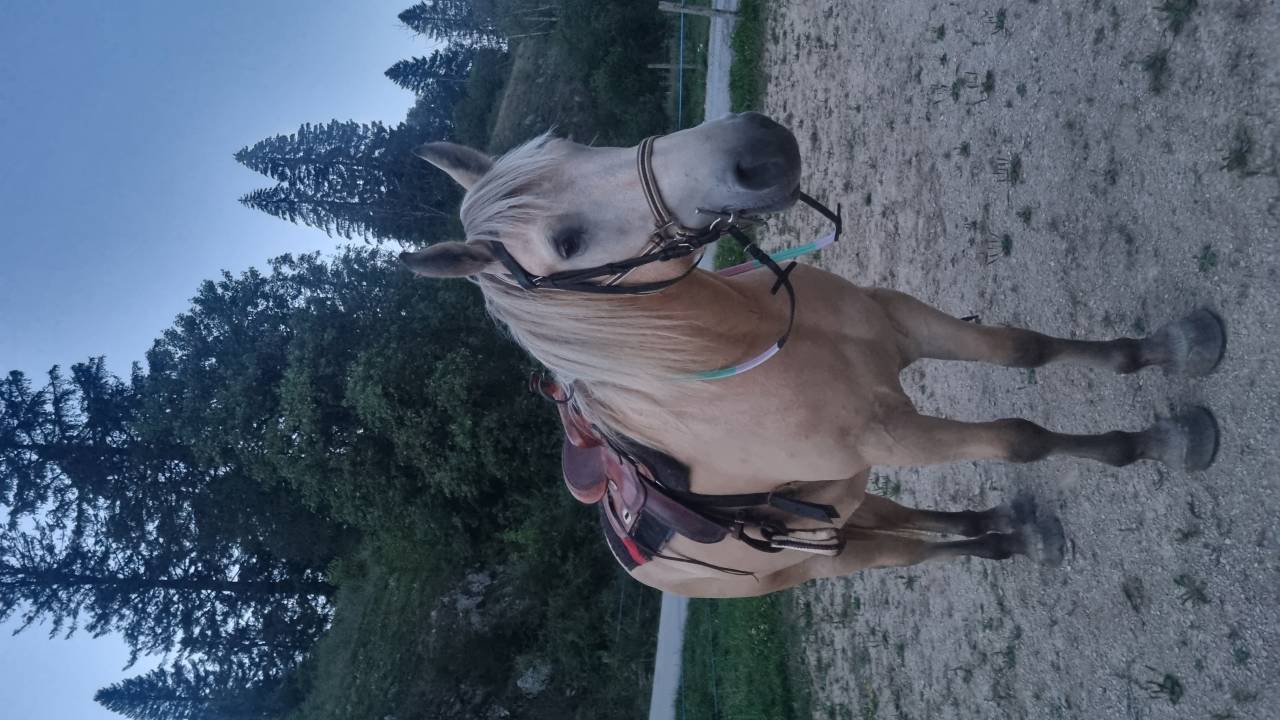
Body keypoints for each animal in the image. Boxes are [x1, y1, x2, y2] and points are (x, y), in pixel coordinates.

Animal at [400, 112, 1224, 598]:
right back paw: (1006, 540)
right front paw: (1159, 442)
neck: (750, 347)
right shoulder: (895, 435)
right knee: (912, 552)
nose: (756, 148)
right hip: (830, 549)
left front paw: (1177, 348)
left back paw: (1004, 529)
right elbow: (1023, 438)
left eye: (575, 140)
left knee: (914, 521)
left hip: (843, 503)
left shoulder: (906, 324)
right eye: (566, 242)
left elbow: (1028, 349)